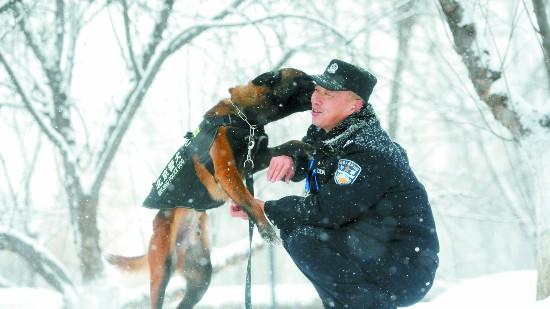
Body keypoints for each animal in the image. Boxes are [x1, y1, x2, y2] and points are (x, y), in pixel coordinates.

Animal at [108, 69, 314, 308]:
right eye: (304, 78)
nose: (321, 83)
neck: (244, 117)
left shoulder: (257, 157)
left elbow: (290, 144)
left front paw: (305, 149)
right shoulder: (227, 170)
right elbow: (250, 201)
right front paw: (266, 229)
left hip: (201, 278)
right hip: (162, 271)